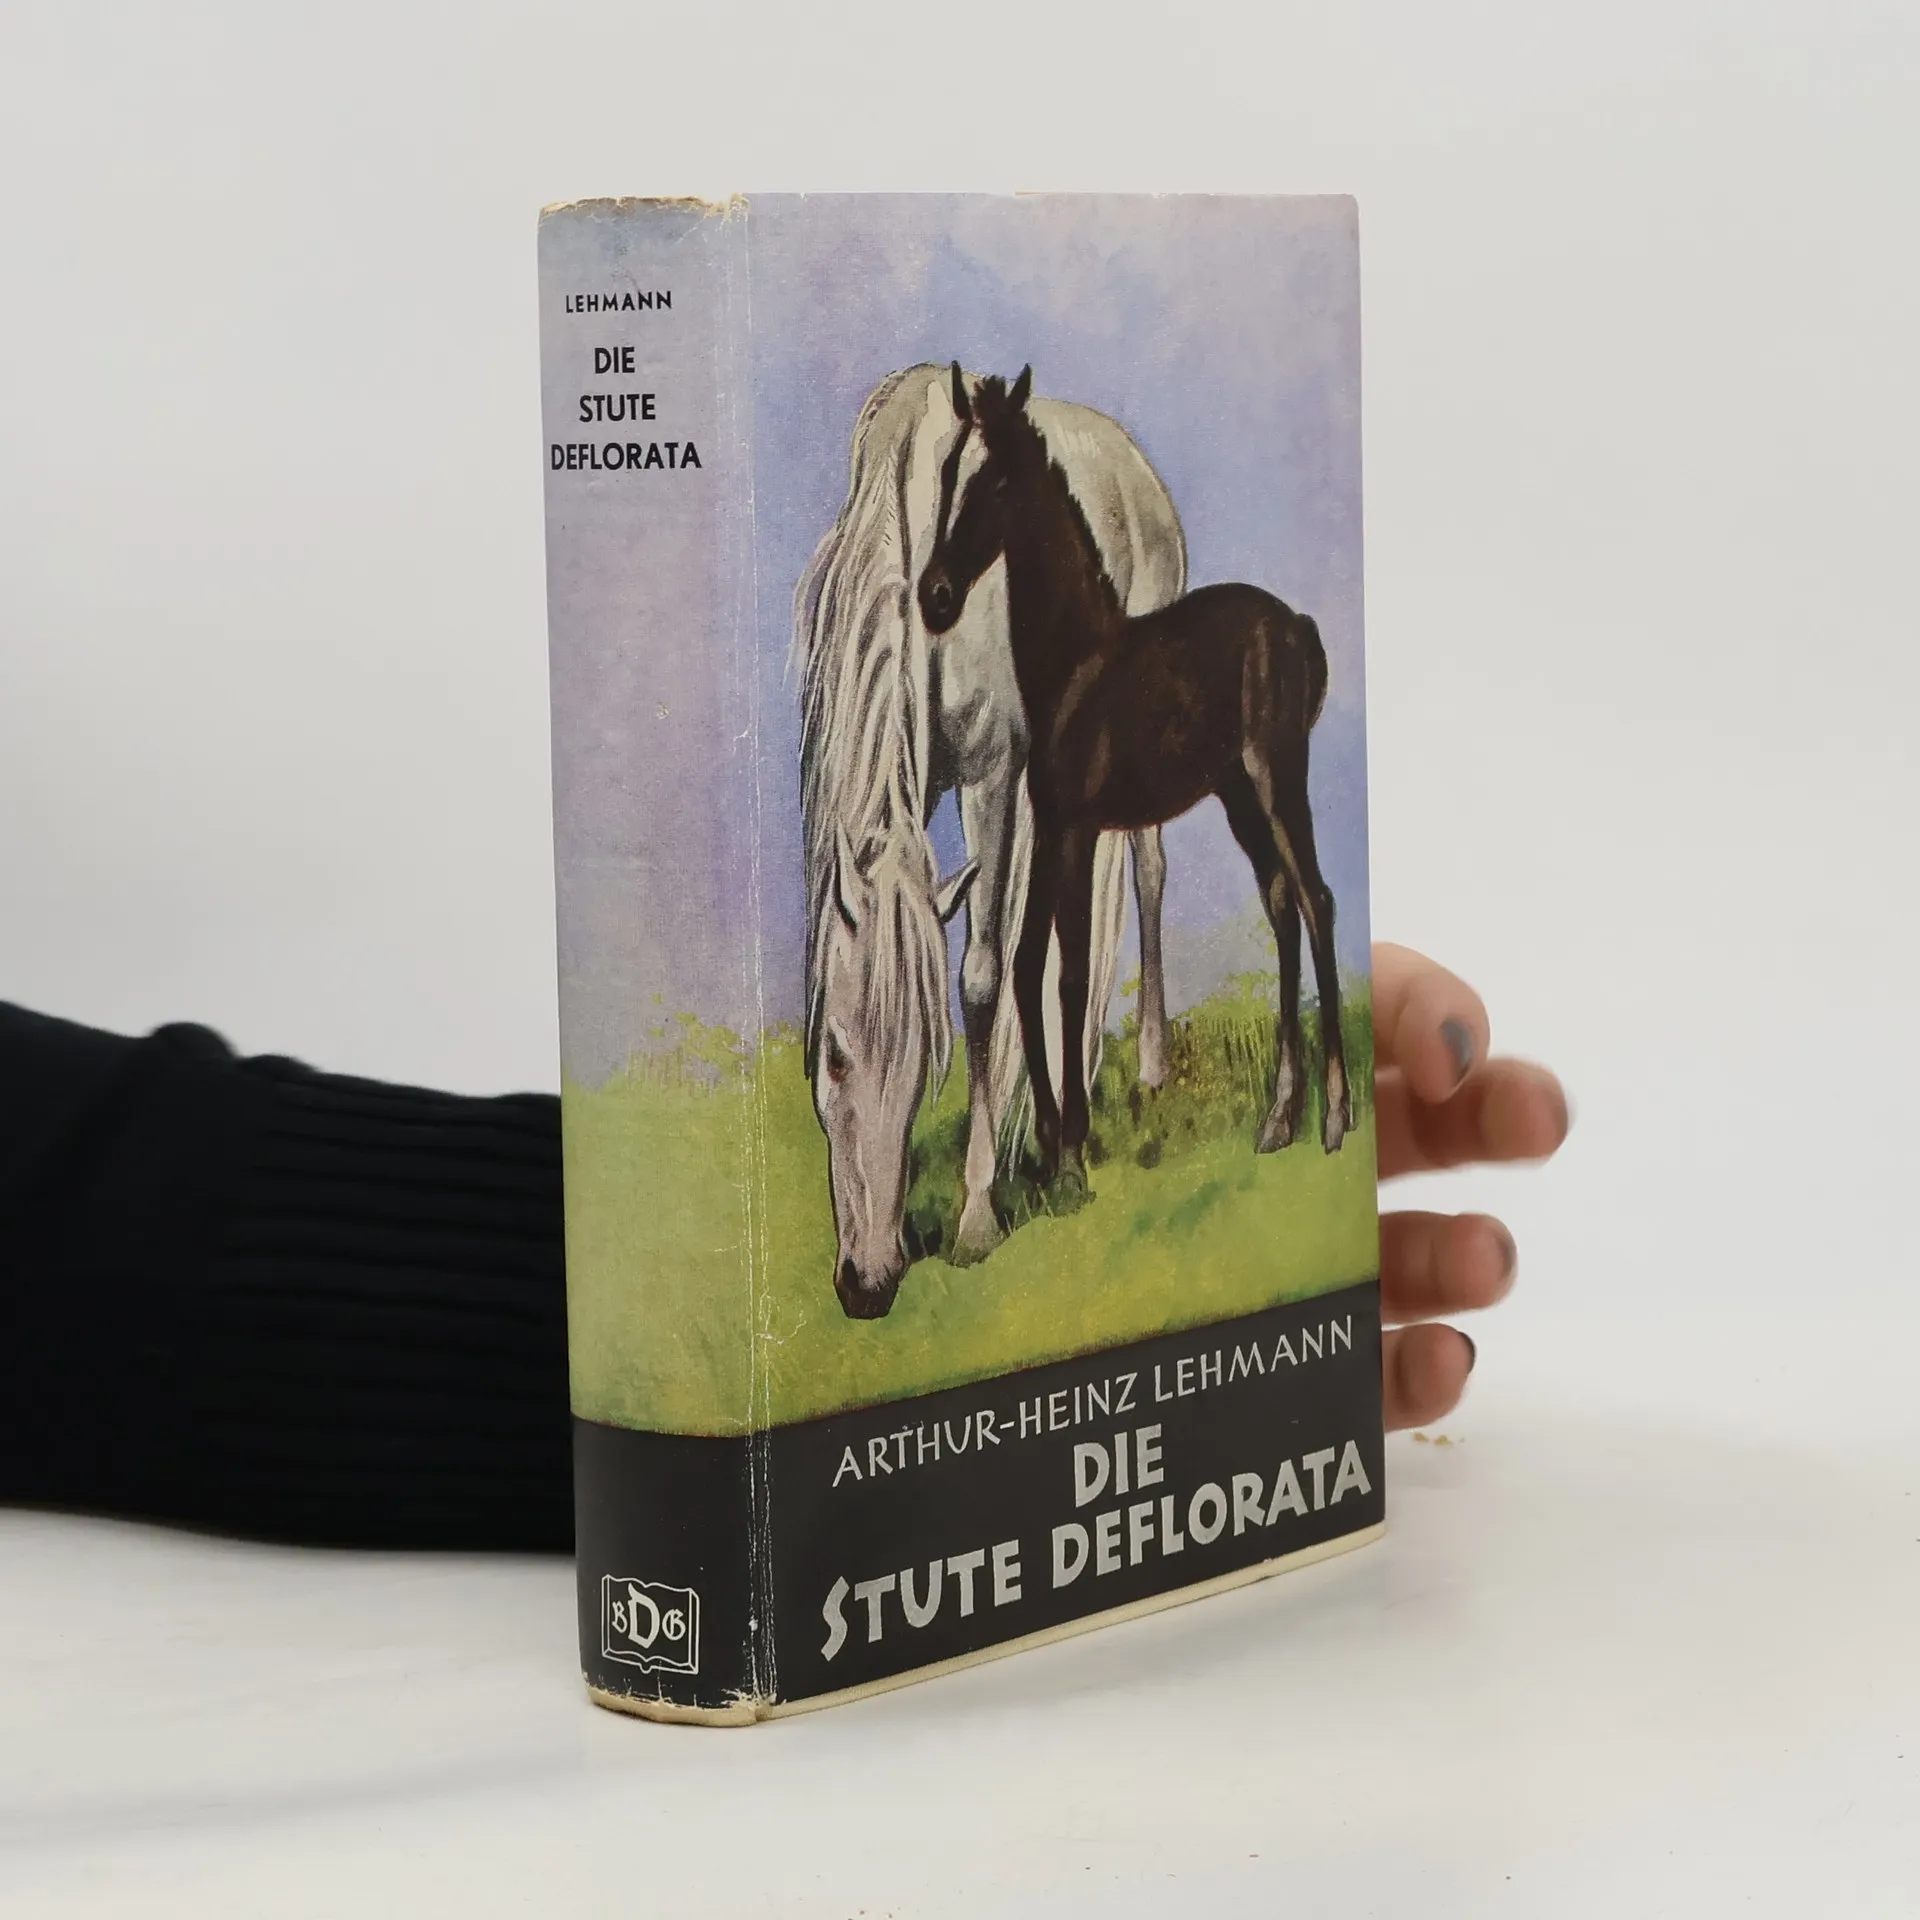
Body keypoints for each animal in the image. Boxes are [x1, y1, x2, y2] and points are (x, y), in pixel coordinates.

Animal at [795, 364, 1187, 1319]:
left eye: (925, 1062)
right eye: (832, 1054)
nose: (868, 1284)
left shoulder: (992, 775)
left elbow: (980, 977)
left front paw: (976, 1212)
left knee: (1146, 875)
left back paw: (1145, 1077)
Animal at [917, 364, 1351, 1207]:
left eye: (998, 479)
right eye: (948, 473)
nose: (935, 597)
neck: (1076, 665)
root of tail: (1296, 625)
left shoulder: (1084, 831)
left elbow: (1071, 970)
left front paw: (1072, 1154)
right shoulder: (1053, 825)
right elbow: (1027, 963)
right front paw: (1052, 1145)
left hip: (1277, 779)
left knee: (1316, 900)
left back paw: (1336, 1116)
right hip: (1238, 797)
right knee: (1281, 902)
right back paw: (1278, 1118)